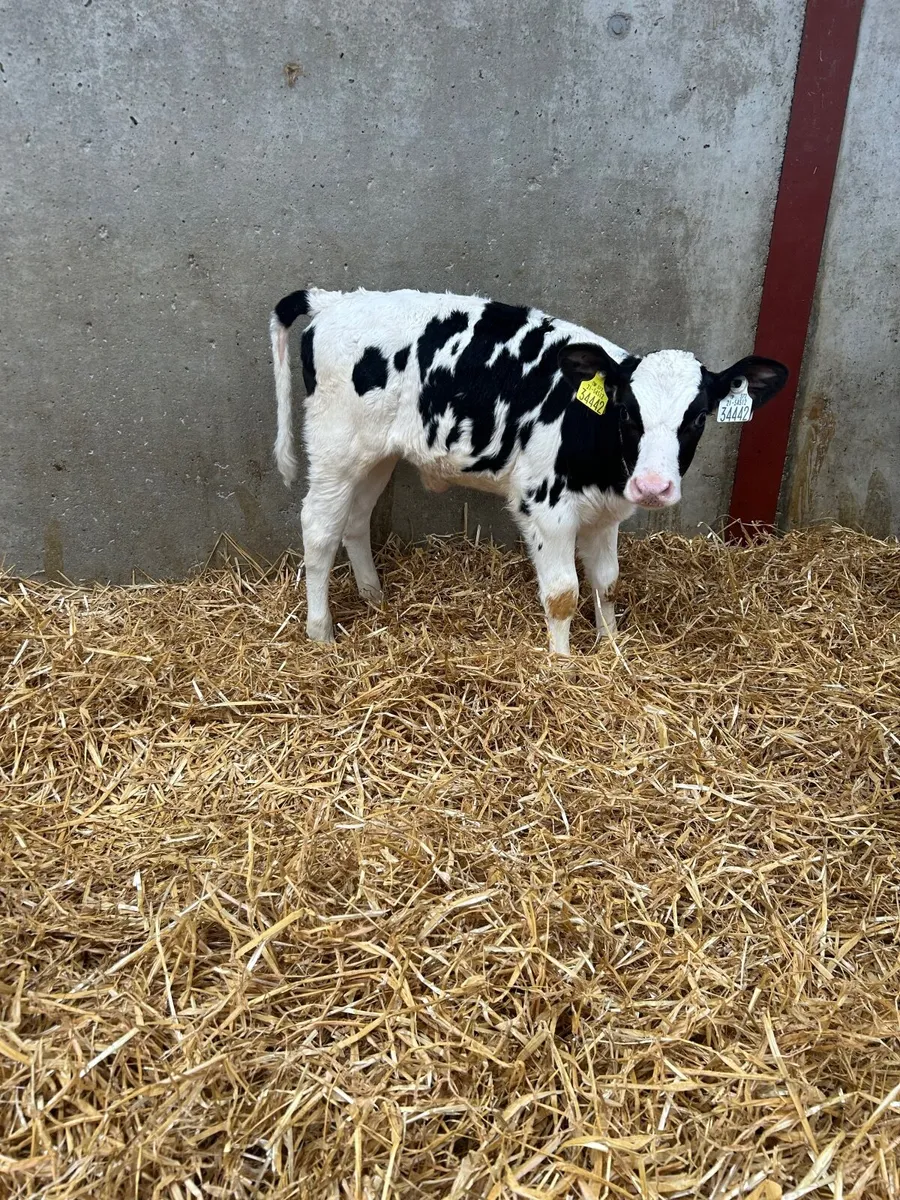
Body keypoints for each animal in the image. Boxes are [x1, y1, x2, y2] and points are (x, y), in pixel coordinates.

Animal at [269, 287, 787, 655]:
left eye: (698, 417)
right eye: (626, 410)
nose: (653, 486)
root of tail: (338, 300)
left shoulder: (605, 515)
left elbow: (608, 583)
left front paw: (612, 650)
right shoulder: (546, 507)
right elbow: (563, 593)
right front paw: (562, 664)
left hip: (376, 454)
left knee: (355, 521)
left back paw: (374, 596)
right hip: (334, 447)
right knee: (319, 528)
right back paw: (320, 632)